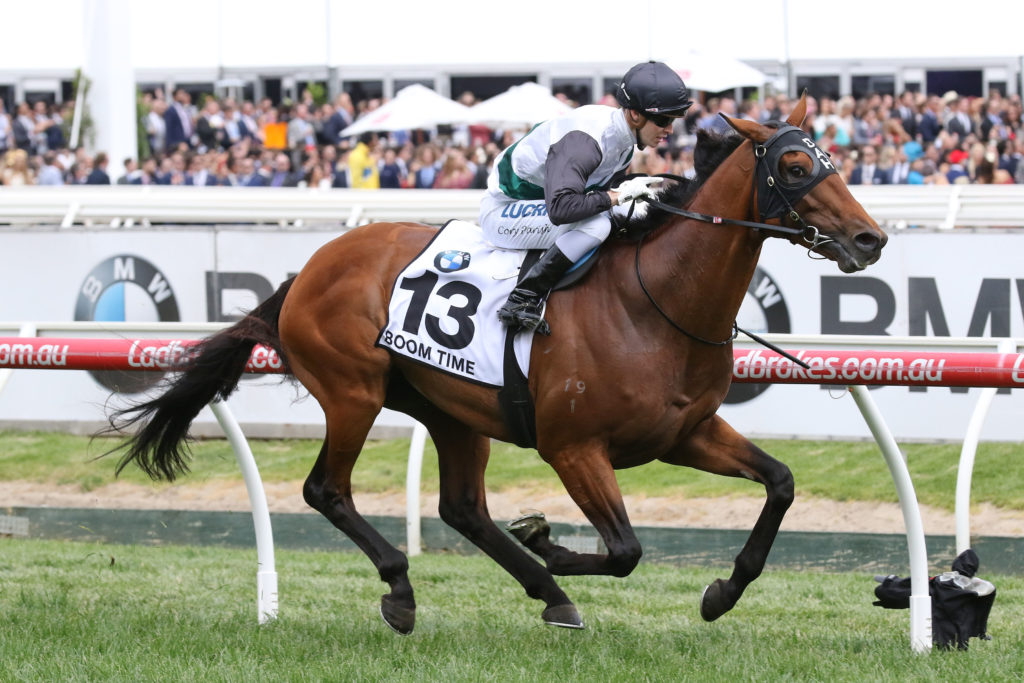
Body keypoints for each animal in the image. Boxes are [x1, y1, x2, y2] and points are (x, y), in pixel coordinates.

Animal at [107, 95, 886, 634]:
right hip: (353, 392)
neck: (654, 302)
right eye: (794, 166)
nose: (869, 238)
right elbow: (625, 548)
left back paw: (550, 594)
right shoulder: (573, 447)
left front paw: (722, 592)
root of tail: (308, 270)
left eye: (833, 161)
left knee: (462, 508)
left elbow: (780, 483)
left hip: (451, 409)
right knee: (326, 489)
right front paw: (549, 539)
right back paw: (404, 588)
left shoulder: (685, 433)